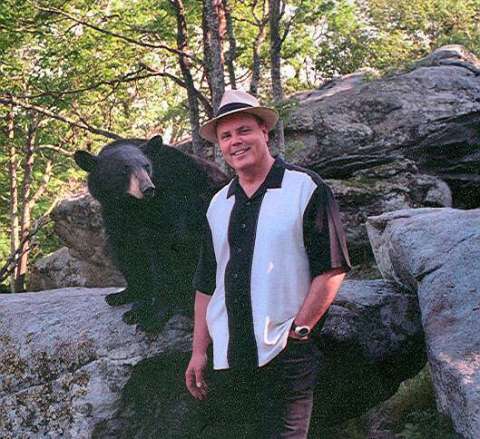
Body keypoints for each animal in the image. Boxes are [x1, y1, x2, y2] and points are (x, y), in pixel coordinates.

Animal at [73, 136, 227, 332]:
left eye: (146, 166)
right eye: (124, 169)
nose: (147, 189)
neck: (133, 205)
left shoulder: (172, 205)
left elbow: (165, 258)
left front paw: (150, 316)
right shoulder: (114, 214)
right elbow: (125, 251)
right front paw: (125, 296)